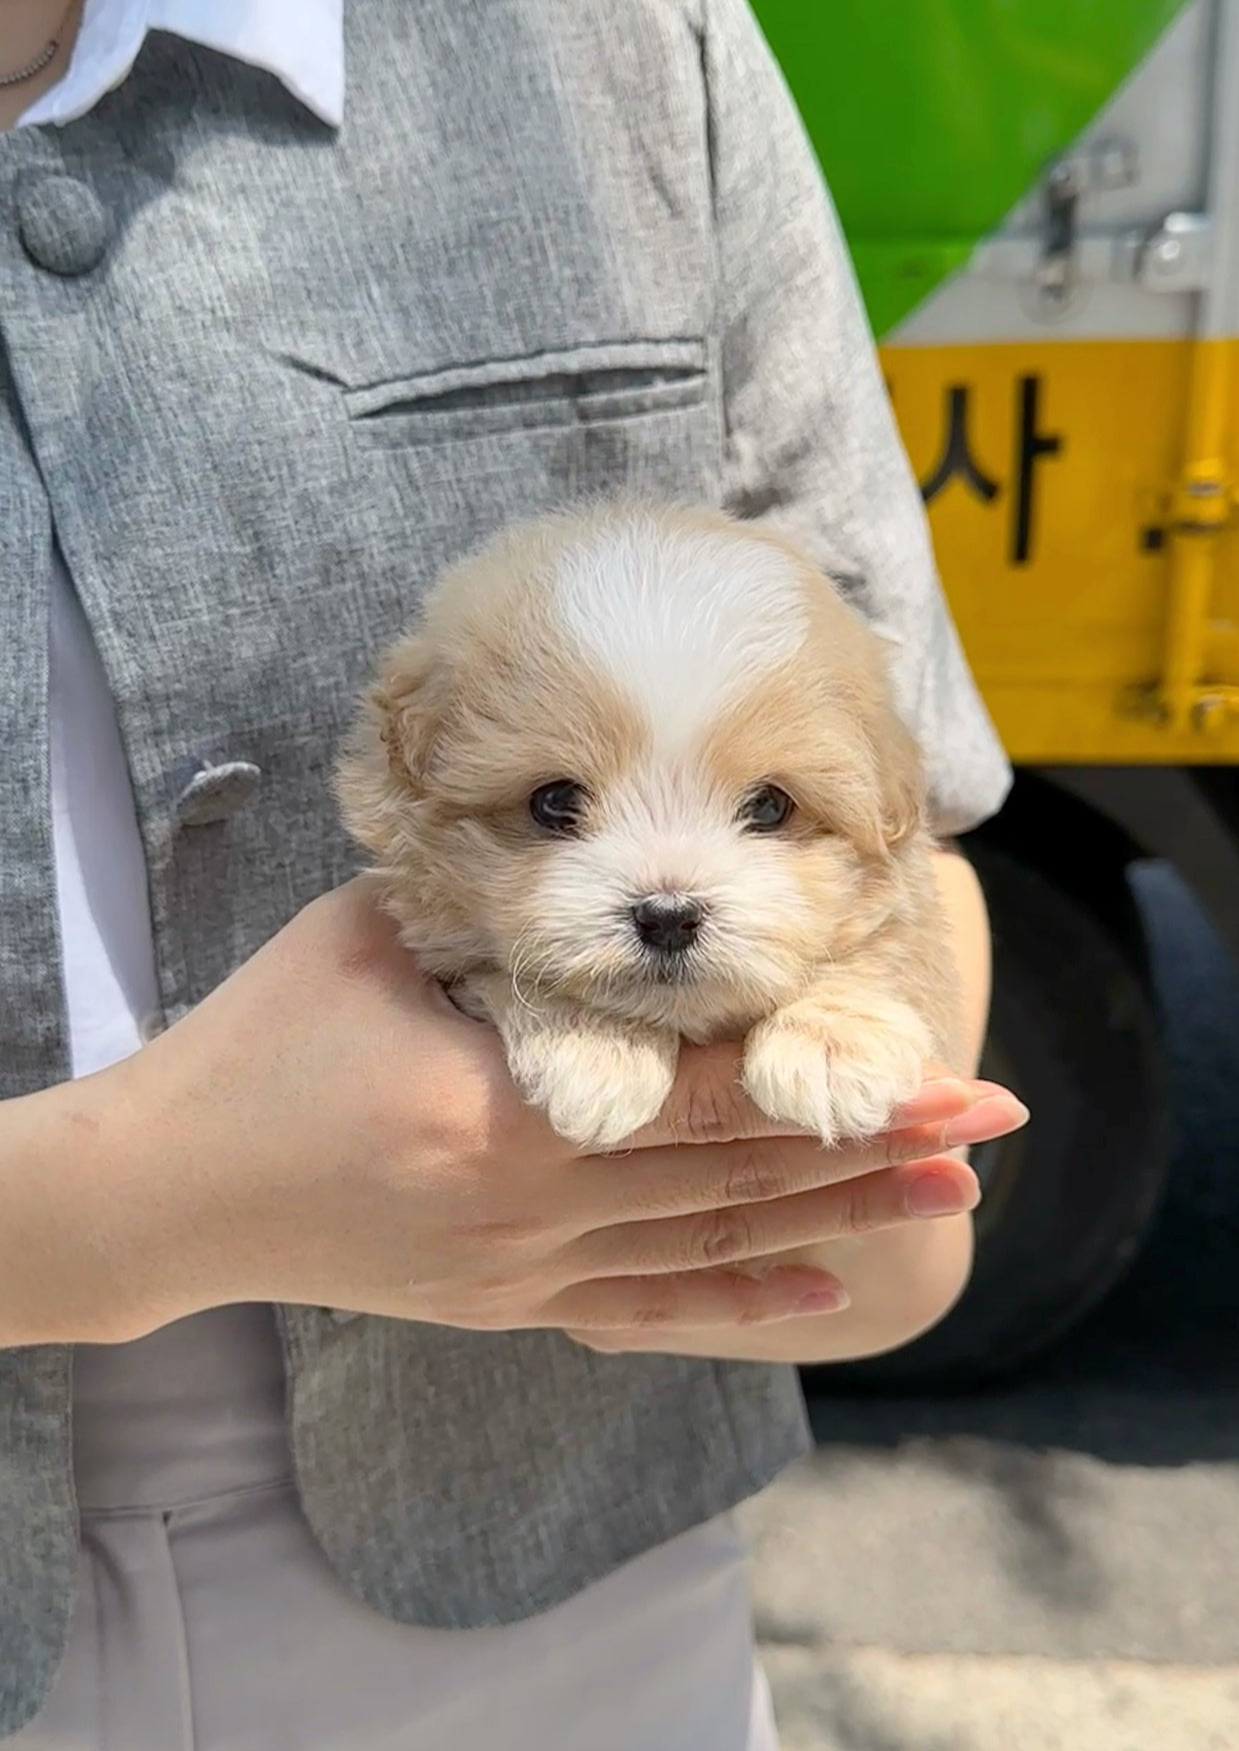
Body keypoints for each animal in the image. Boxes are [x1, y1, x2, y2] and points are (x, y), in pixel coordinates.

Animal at [334, 507, 966, 1155]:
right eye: (554, 801)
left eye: (769, 806)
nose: (668, 915)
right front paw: (599, 1044)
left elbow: (888, 947)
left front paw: (832, 1042)